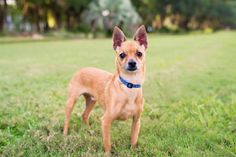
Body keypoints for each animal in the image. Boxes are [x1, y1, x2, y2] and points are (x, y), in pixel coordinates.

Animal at [62, 25, 148, 153]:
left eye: (139, 53)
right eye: (122, 55)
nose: (132, 63)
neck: (129, 86)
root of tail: (82, 69)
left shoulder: (136, 121)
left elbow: (133, 139)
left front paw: (133, 151)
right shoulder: (106, 121)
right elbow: (107, 143)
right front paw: (107, 154)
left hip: (92, 101)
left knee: (84, 115)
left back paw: (89, 131)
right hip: (72, 101)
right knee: (67, 119)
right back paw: (65, 134)